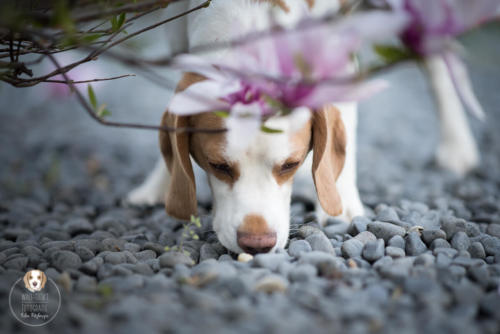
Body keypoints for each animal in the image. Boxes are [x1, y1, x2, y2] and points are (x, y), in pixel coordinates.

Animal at [126, 0, 480, 254]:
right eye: (218, 166)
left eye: (290, 165)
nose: (257, 244)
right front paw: (160, 184)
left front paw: (342, 202)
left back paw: (457, 144)